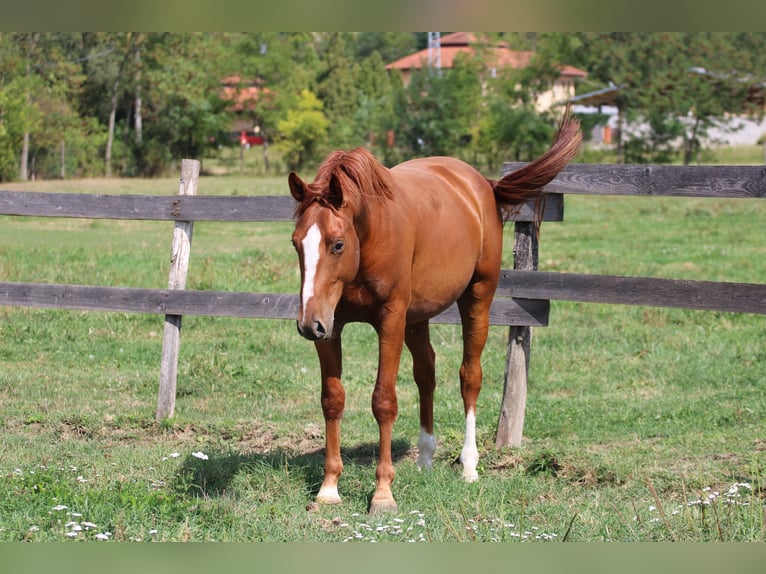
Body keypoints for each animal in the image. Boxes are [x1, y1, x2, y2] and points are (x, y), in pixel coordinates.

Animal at [288, 113, 581, 514]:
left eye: (337, 244)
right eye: (296, 244)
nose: (306, 324)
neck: (372, 235)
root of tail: (483, 185)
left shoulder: (390, 321)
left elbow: (384, 400)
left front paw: (383, 493)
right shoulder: (332, 327)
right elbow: (332, 399)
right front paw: (329, 487)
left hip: (476, 299)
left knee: (469, 376)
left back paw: (469, 465)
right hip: (417, 318)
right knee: (426, 373)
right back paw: (426, 458)